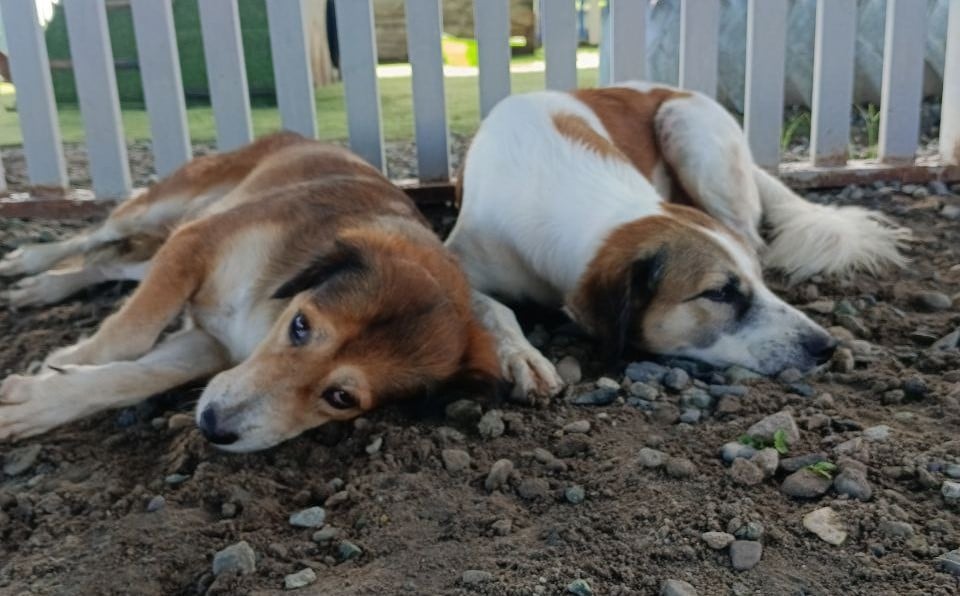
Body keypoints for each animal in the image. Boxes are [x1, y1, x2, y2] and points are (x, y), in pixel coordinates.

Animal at [0, 133, 496, 452]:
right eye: (300, 326)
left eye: (342, 398)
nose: (212, 426)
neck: (262, 316)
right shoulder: (193, 243)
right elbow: (130, 335)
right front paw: (63, 361)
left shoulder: (210, 346)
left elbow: (139, 376)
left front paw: (38, 403)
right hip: (162, 209)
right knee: (93, 237)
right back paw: (27, 264)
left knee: (109, 263)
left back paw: (45, 287)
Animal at [444, 81, 908, 398]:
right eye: (719, 293)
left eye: (756, 283)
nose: (826, 346)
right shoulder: (457, 258)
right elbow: (492, 307)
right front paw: (521, 356)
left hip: (686, 127)